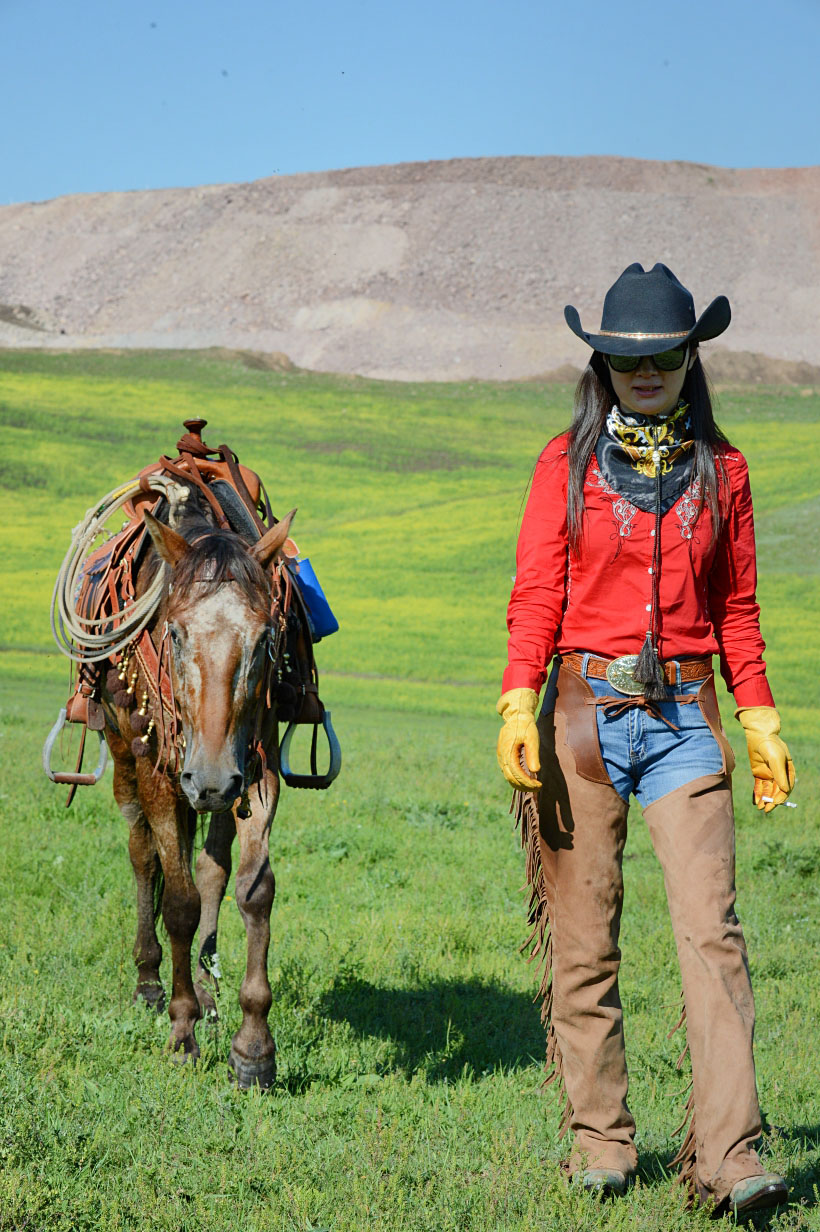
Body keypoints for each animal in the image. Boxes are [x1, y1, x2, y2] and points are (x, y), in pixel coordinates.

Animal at [100, 490, 295, 1089]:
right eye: (176, 633)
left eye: (264, 639)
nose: (208, 780)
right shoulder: (160, 773)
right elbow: (180, 904)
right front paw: (181, 1031)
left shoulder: (257, 770)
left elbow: (253, 891)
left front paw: (253, 1050)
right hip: (127, 757)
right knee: (144, 857)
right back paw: (149, 981)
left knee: (210, 866)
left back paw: (209, 995)